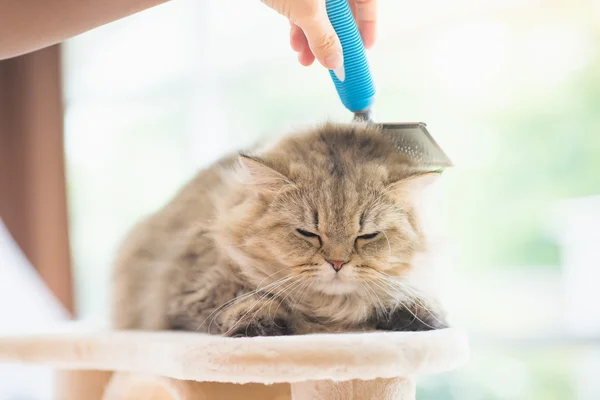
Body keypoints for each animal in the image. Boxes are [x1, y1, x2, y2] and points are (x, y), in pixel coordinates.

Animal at [110, 122, 448, 338]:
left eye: (367, 236)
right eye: (308, 233)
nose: (338, 263)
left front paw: (420, 315)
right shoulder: (188, 287)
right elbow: (239, 297)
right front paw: (260, 320)